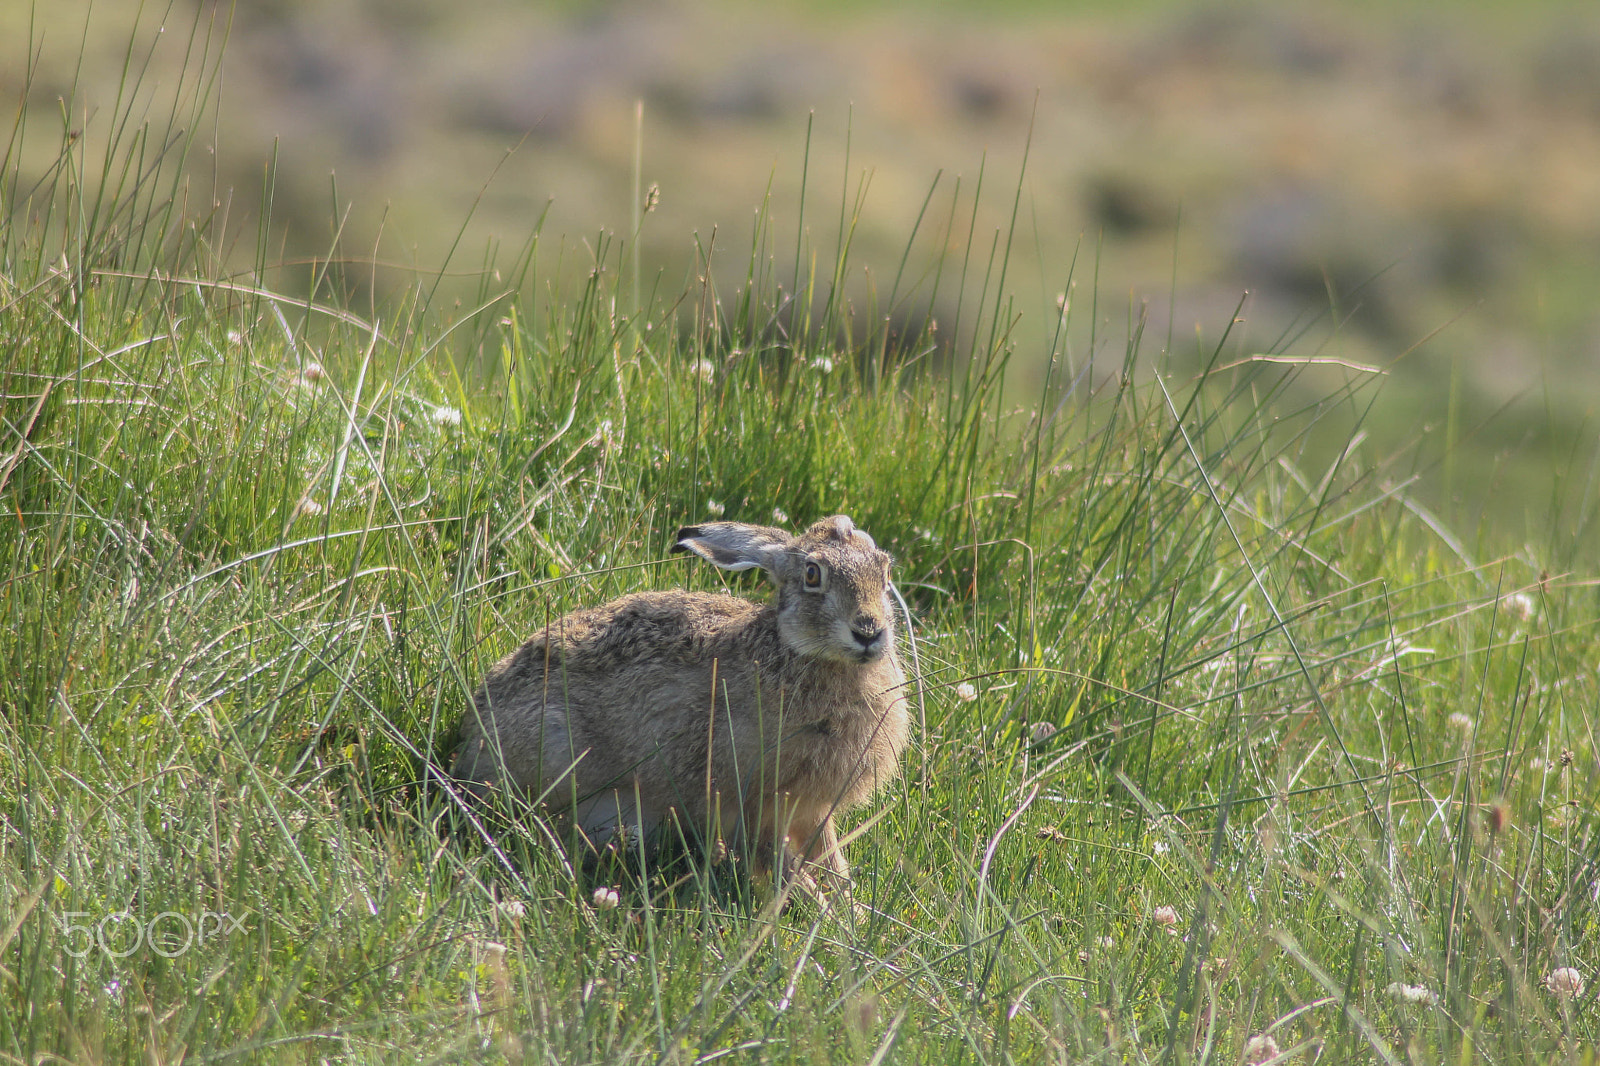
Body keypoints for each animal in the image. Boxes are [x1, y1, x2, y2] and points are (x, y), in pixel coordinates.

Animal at [450, 514, 909, 889]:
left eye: (884, 570)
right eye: (813, 574)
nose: (869, 631)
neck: (799, 651)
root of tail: (470, 739)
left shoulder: (812, 810)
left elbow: (831, 860)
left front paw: (848, 912)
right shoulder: (752, 798)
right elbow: (777, 863)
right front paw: (820, 910)